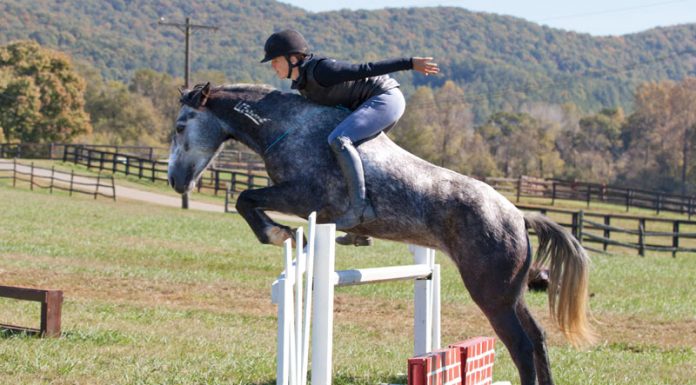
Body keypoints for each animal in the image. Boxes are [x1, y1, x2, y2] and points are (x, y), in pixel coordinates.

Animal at [167, 82, 592, 382]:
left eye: (180, 125)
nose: (175, 181)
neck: (288, 128)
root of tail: (518, 216)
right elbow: (248, 199)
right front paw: (293, 233)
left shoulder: (304, 196)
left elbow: (245, 198)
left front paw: (278, 233)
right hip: (510, 293)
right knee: (537, 337)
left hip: (491, 294)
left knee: (520, 345)